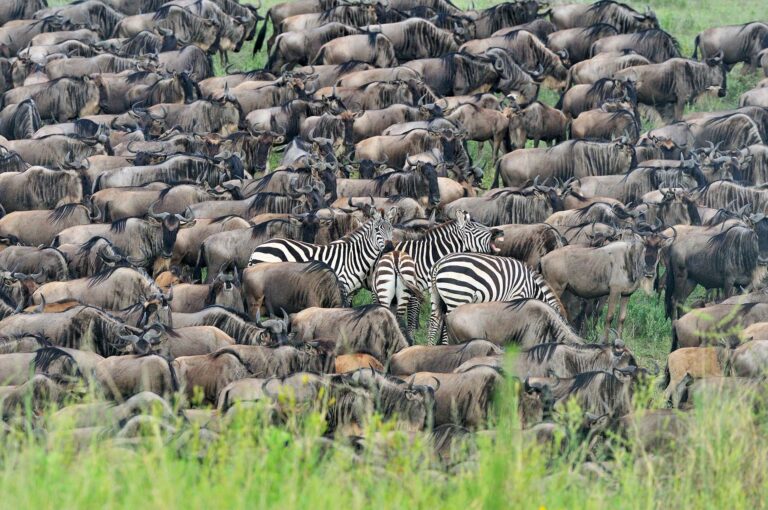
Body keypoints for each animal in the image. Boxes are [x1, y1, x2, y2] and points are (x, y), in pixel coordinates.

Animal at [426, 253, 564, 344]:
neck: (532, 287)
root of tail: (439, 263)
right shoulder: (518, 295)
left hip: (435, 296)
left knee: (434, 321)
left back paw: (431, 346)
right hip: (457, 295)